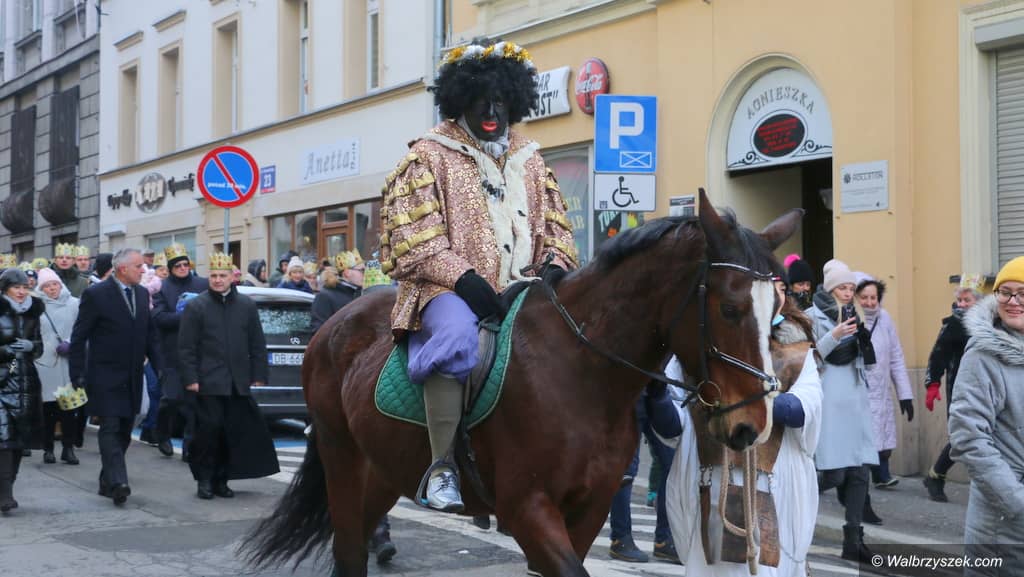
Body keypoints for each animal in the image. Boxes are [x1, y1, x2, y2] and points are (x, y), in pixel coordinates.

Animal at [241, 190, 803, 577]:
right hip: (342, 459)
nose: (752, 425)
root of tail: (329, 327)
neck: (583, 370)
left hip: (382, 470)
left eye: (777, 309)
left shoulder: (589, 509)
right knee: (349, 551)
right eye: (729, 308)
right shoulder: (526, 507)